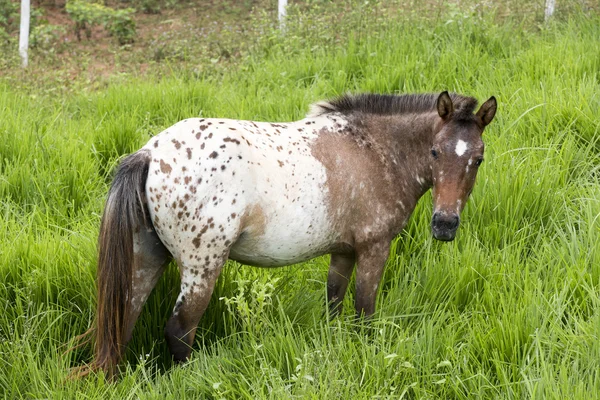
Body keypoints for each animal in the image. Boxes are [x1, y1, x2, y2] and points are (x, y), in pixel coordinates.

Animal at [83, 90, 496, 376]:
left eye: (478, 159)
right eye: (434, 152)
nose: (444, 225)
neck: (374, 149)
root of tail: (150, 153)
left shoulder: (343, 251)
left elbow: (334, 303)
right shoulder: (373, 248)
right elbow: (364, 312)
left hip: (145, 259)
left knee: (123, 321)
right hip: (202, 266)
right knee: (180, 331)